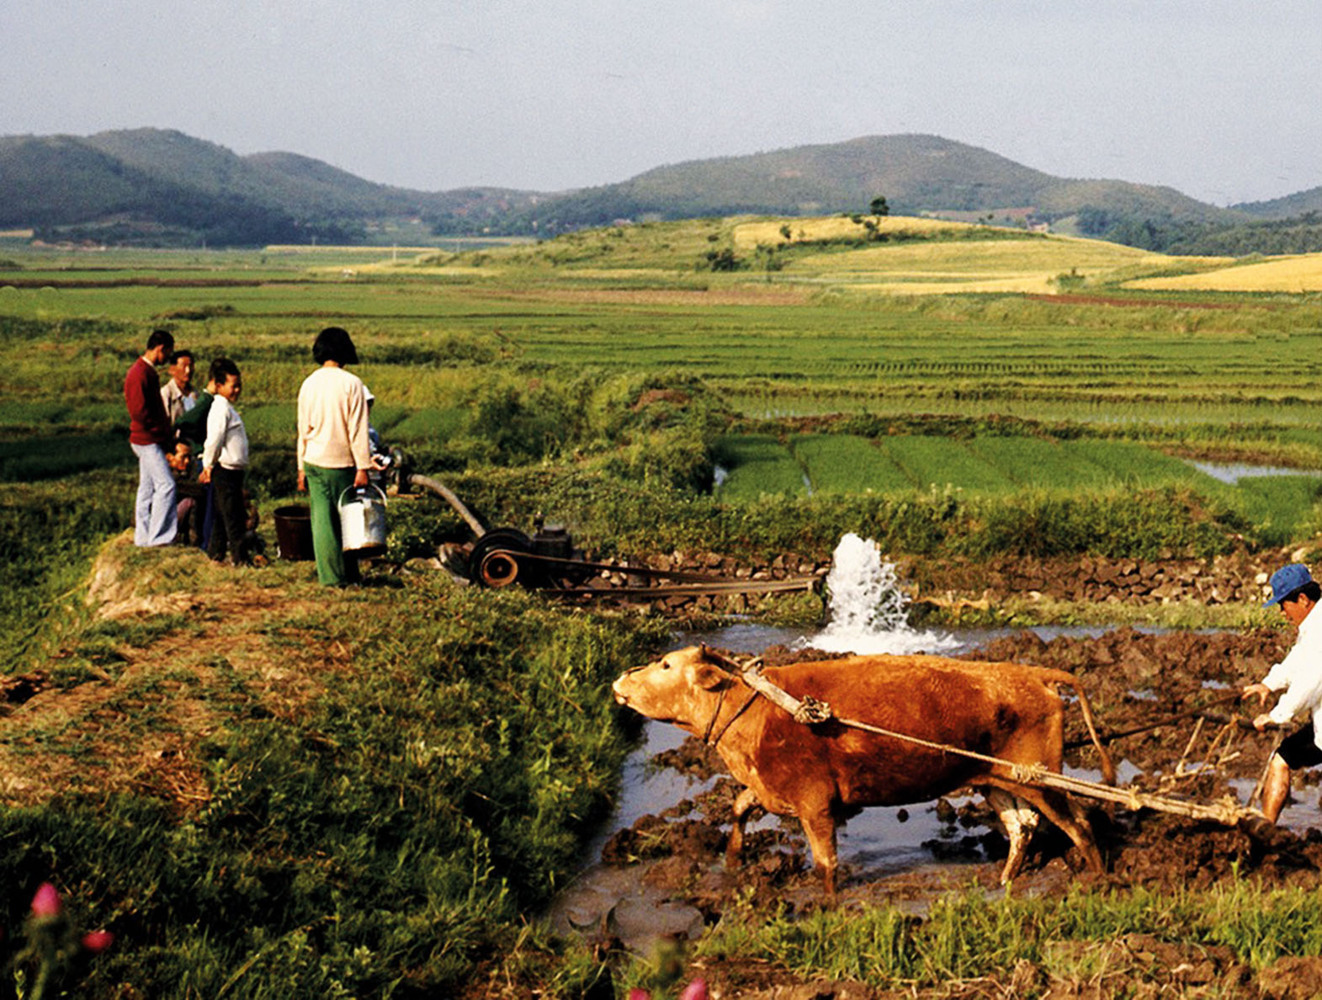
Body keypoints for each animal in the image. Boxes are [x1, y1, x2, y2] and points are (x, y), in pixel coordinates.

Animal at [613, 648, 1110, 899]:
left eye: (665, 664)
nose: (620, 679)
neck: (758, 708)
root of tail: (1031, 674)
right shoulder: (771, 787)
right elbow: (738, 805)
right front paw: (733, 860)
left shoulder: (815, 802)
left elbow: (826, 863)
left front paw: (827, 907)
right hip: (997, 780)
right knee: (1021, 827)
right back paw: (1004, 881)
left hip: (1043, 780)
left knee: (1079, 825)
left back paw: (1101, 882)